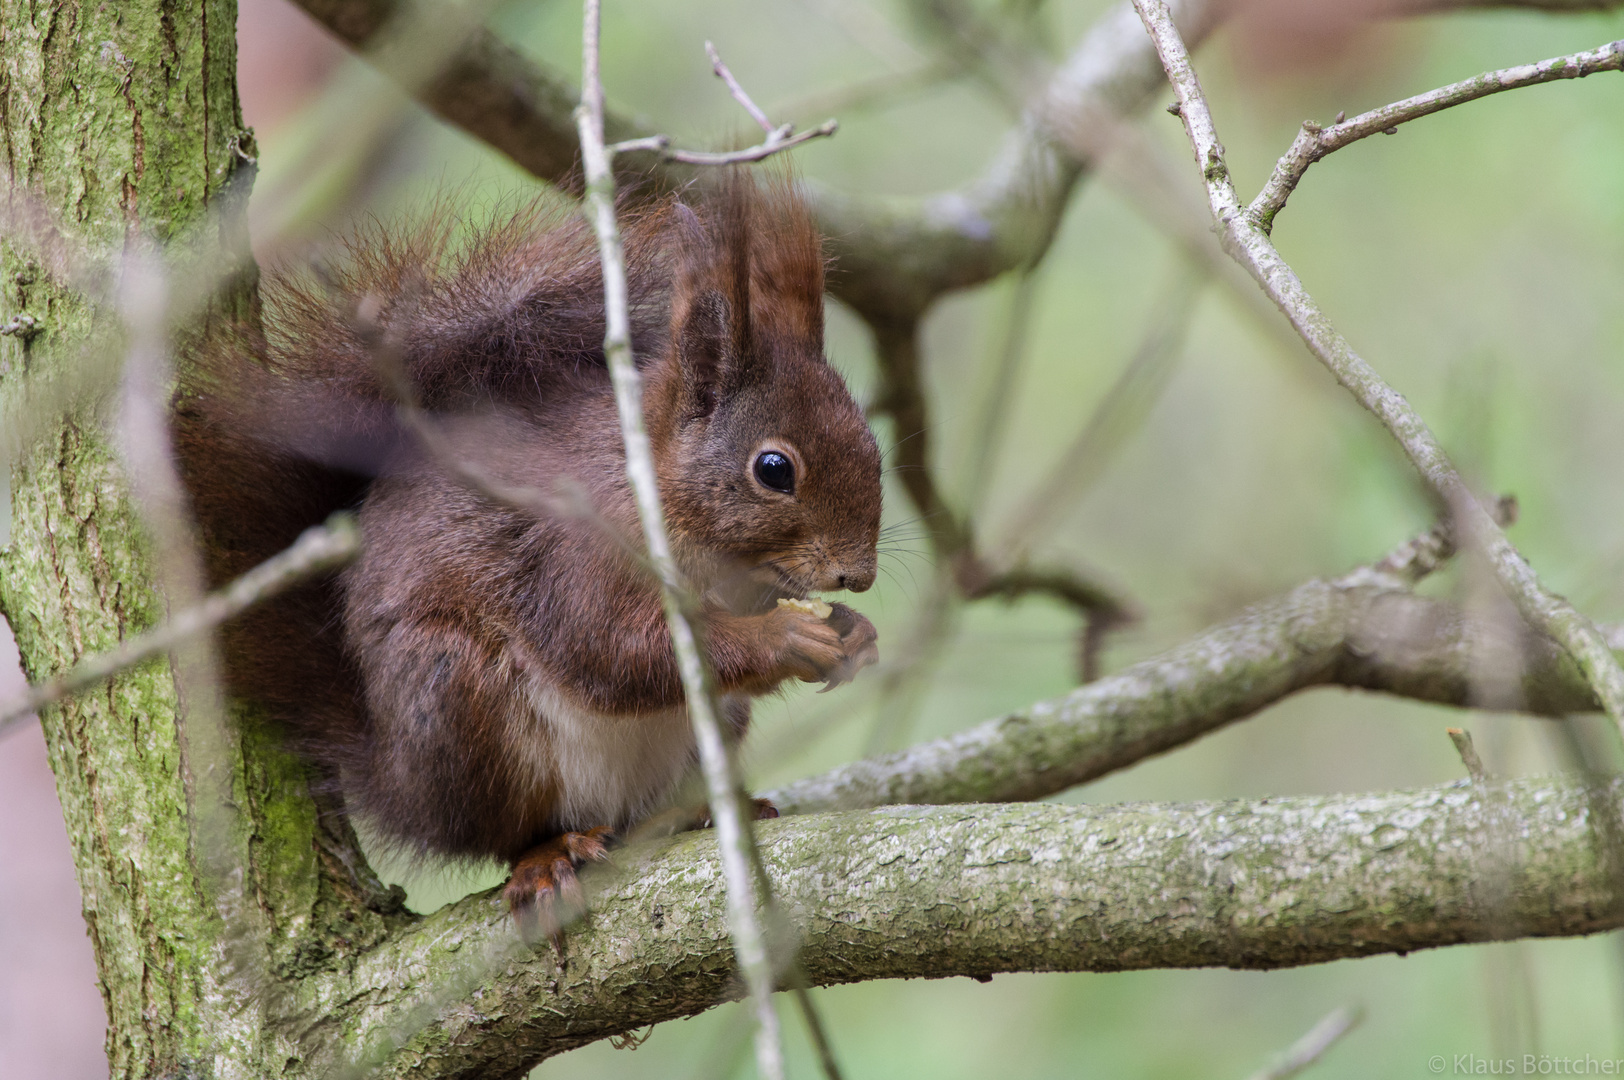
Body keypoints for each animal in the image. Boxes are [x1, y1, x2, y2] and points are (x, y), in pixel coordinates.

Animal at [177, 172, 883, 922]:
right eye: (773, 469)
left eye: (873, 445)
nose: (858, 575)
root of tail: (399, 782)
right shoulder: (578, 550)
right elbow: (610, 649)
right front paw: (783, 637)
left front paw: (856, 633)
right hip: (459, 700)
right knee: (505, 832)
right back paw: (545, 856)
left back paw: (699, 814)